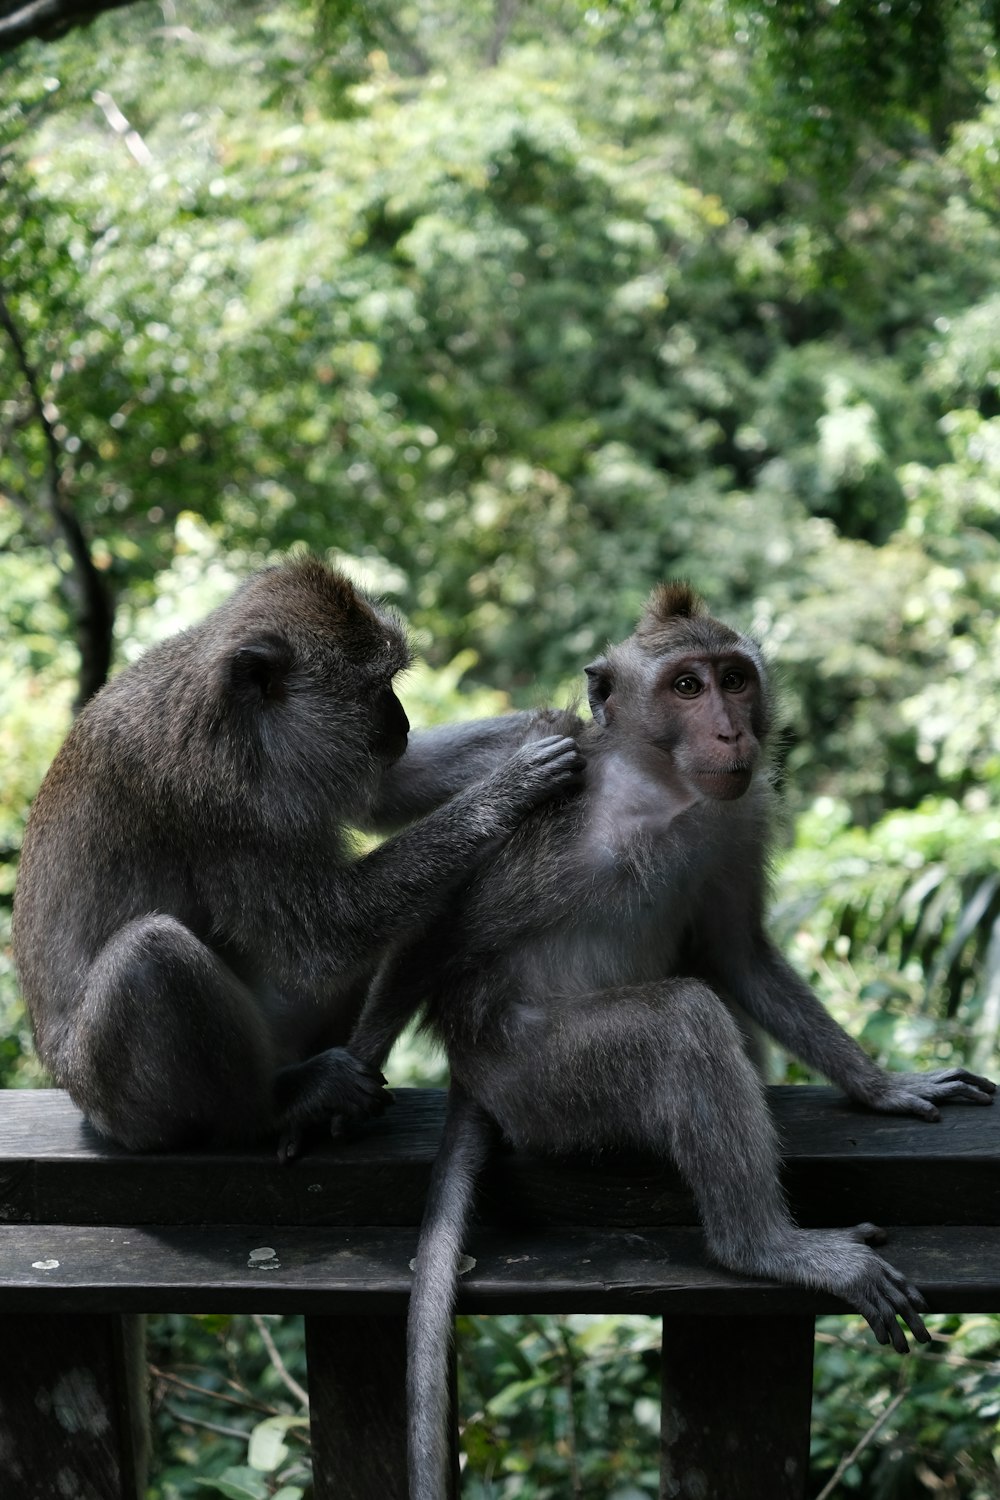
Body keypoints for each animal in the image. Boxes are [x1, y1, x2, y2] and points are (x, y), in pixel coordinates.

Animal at [11, 558, 581, 1152]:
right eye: (373, 687)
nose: (401, 724)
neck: (239, 722)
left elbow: (385, 792)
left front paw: (550, 727)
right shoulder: (218, 803)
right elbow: (324, 936)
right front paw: (511, 786)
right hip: (118, 1104)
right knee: (149, 954)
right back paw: (275, 1108)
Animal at [346, 582, 1000, 1500]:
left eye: (734, 679)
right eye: (686, 688)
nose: (732, 731)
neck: (660, 792)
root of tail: (473, 1075)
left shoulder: (737, 815)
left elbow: (736, 950)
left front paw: (884, 1087)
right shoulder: (561, 808)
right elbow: (449, 925)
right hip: (541, 1081)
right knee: (679, 1021)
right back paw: (763, 1248)